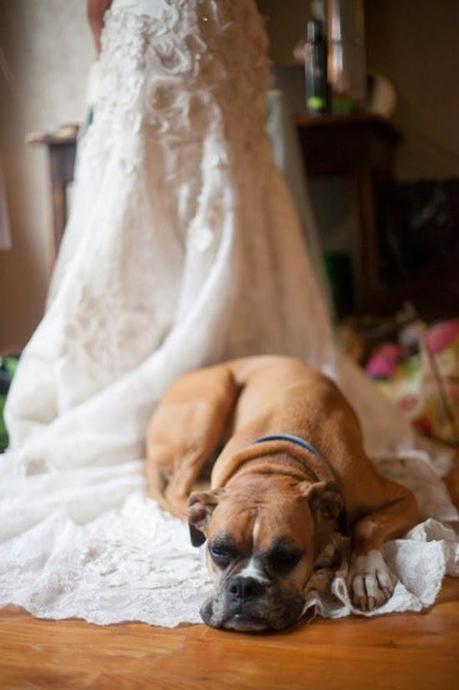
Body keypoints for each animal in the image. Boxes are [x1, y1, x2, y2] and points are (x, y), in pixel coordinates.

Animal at [145, 358, 420, 632]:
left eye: (287, 557)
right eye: (218, 551)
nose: (244, 586)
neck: (277, 462)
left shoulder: (406, 497)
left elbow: (368, 524)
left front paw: (366, 574)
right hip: (211, 401)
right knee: (177, 489)